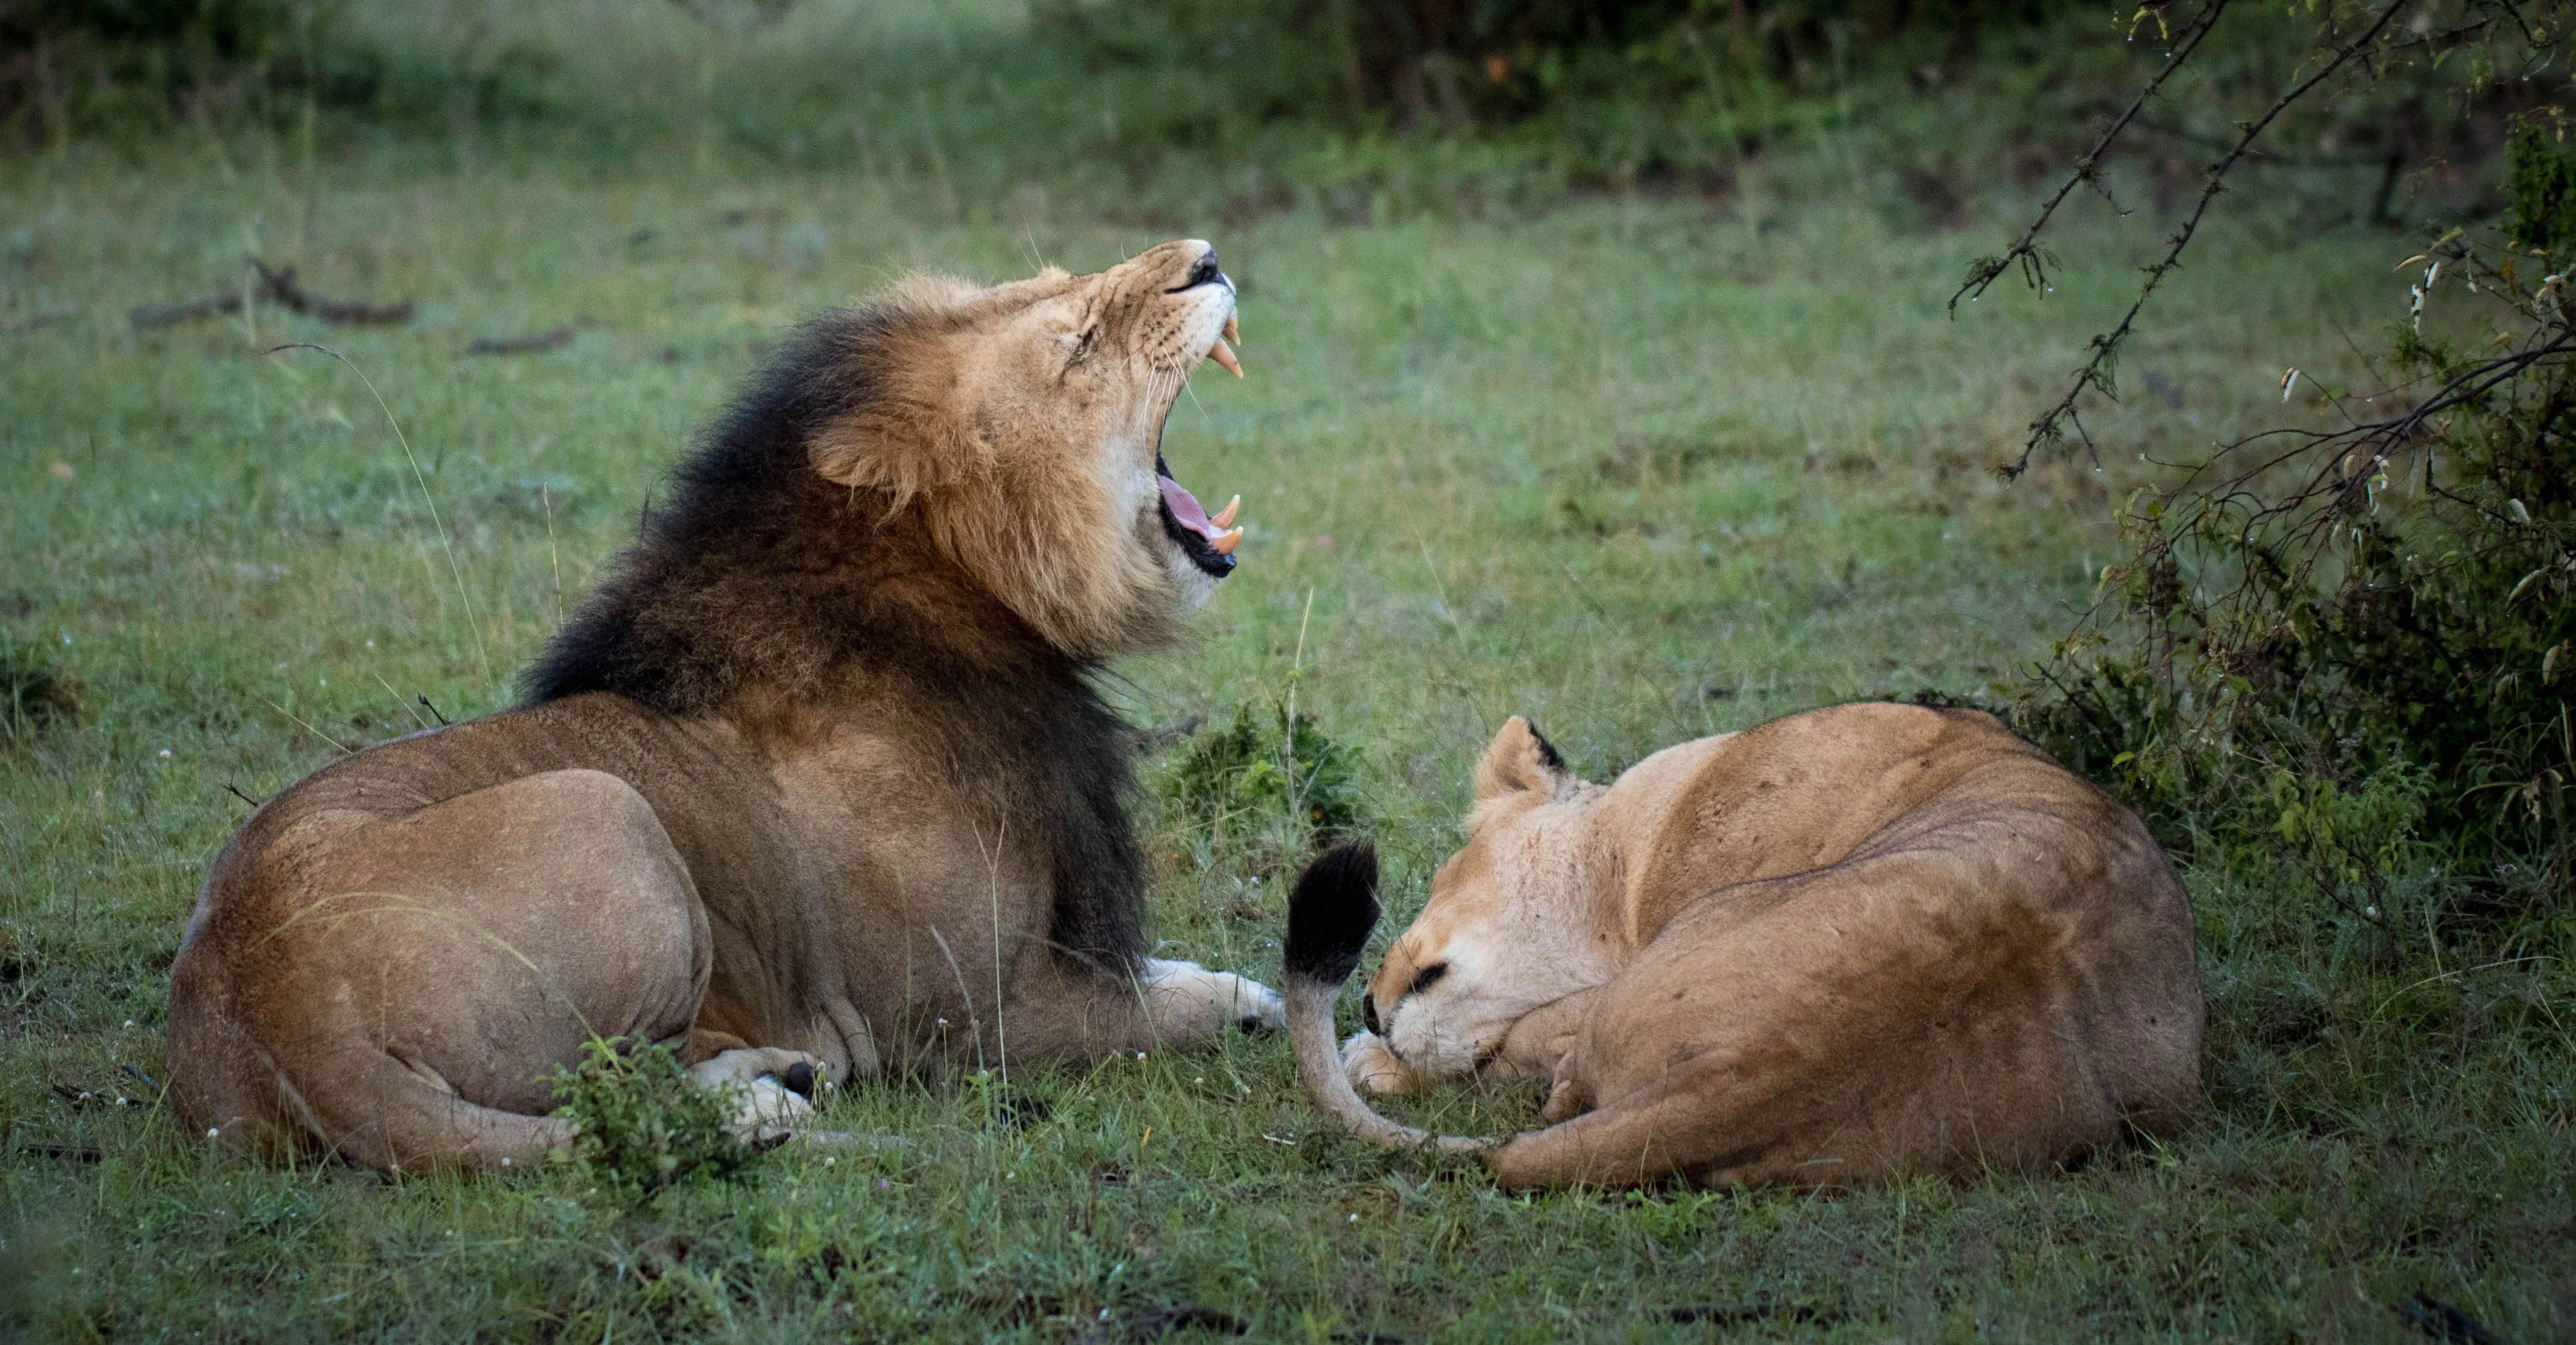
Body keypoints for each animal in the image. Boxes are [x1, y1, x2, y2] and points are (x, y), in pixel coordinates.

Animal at [168, 240, 1279, 1171]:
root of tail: (280, 1006)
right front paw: (1249, 999)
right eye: (1076, 343)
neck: (976, 610)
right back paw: (768, 1096)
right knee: (613, 1094)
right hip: (606, 807)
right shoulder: (960, 1020)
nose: (1203, 256)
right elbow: (1163, 1013)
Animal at [1281, 703, 2203, 1190]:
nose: (1368, 1003)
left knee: (1551, 1088)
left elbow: (1509, 1046)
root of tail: (1750, 1072)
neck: (1631, 852)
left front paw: (1375, 1056)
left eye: (1443, 873)